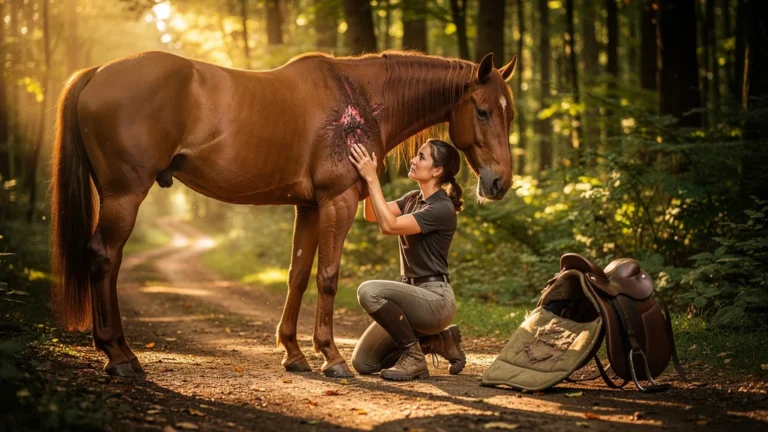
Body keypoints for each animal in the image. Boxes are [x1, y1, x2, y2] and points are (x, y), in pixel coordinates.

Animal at [50, 50, 518, 378]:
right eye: (482, 110)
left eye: (508, 113)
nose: (500, 183)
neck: (357, 98)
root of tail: (98, 72)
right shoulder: (338, 201)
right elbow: (327, 277)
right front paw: (331, 357)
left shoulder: (309, 207)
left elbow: (297, 275)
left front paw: (294, 354)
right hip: (124, 195)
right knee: (104, 258)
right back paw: (119, 356)